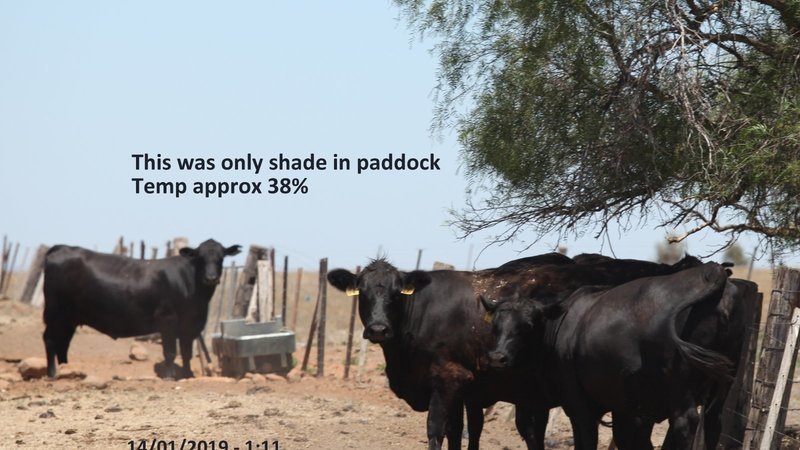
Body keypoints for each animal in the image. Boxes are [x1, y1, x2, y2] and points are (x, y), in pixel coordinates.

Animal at [43, 239, 241, 379]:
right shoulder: (167, 319)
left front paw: (188, 375)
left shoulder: (190, 326)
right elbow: (170, 351)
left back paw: (66, 369)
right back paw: (53, 373)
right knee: (50, 340)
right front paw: (170, 376)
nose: (211, 277)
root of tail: (61, 248)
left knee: (63, 343)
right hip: (55, 313)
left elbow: (186, 353)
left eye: (221, 257)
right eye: (200, 257)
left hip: (69, 319)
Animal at [326, 253, 705, 450]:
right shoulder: (466, 386)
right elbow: (459, 431)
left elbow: (436, 430)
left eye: (394, 293)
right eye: (362, 292)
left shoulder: (448, 380)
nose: (378, 329)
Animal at [482, 263, 740, 450]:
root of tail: (710, 272)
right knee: (713, 422)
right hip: (721, 387)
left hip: (679, 389)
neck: (563, 324)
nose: (497, 357)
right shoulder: (627, 410)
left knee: (684, 425)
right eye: (496, 325)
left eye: (527, 326)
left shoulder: (579, 406)